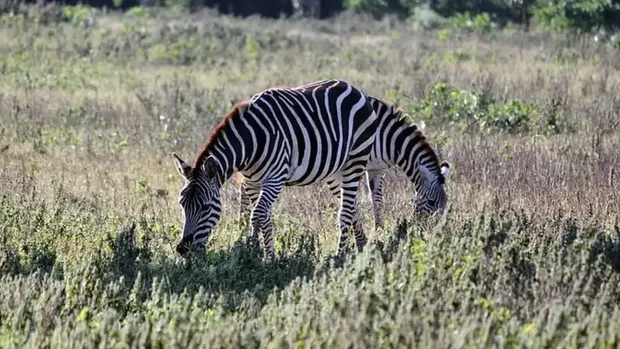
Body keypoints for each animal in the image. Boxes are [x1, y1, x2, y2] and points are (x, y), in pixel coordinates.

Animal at [173, 78, 378, 258]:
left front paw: (253, 253)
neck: (251, 143)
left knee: (346, 212)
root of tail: (354, 89)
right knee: (351, 206)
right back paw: (362, 247)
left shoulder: (274, 179)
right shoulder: (252, 182)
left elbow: (256, 215)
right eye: (182, 204)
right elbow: (264, 219)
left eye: (206, 207)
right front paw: (267, 256)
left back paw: (339, 257)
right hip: (335, 173)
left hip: (355, 161)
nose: (183, 250)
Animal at [236, 94, 450, 231]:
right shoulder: (356, 166)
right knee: (245, 189)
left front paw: (379, 229)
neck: (387, 138)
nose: (431, 234)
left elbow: (377, 199)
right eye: (432, 202)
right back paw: (242, 227)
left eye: (445, 205)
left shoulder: (376, 169)